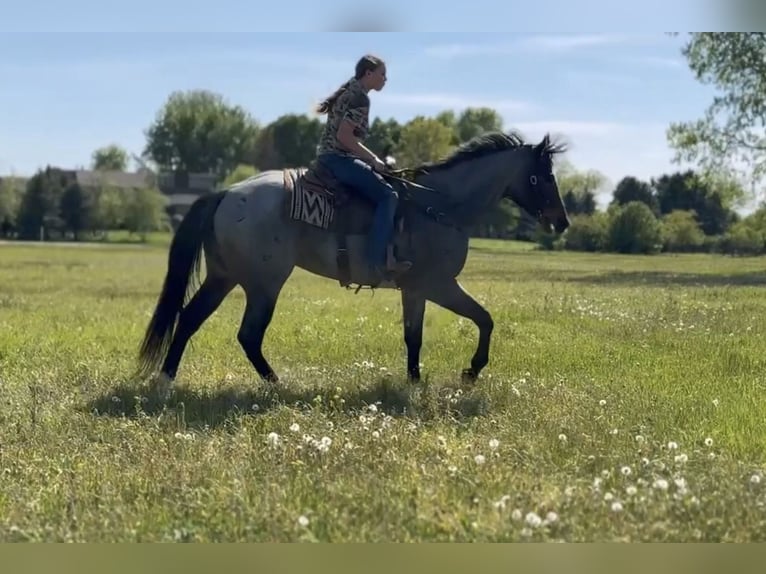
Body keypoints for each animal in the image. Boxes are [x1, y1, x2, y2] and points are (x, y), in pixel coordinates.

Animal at [135, 130, 571, 398]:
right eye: (543, 177)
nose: (562, 221)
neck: (440, 206)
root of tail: (226, 192)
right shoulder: (439, 285)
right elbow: (485, 319)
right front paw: (471, 371)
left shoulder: (416, 290)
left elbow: (415, 337)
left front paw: (413, 383)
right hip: (264, 284)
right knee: (248, 335)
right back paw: (277, 385)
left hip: (224, 277)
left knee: (189, 319)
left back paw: (165, 381)